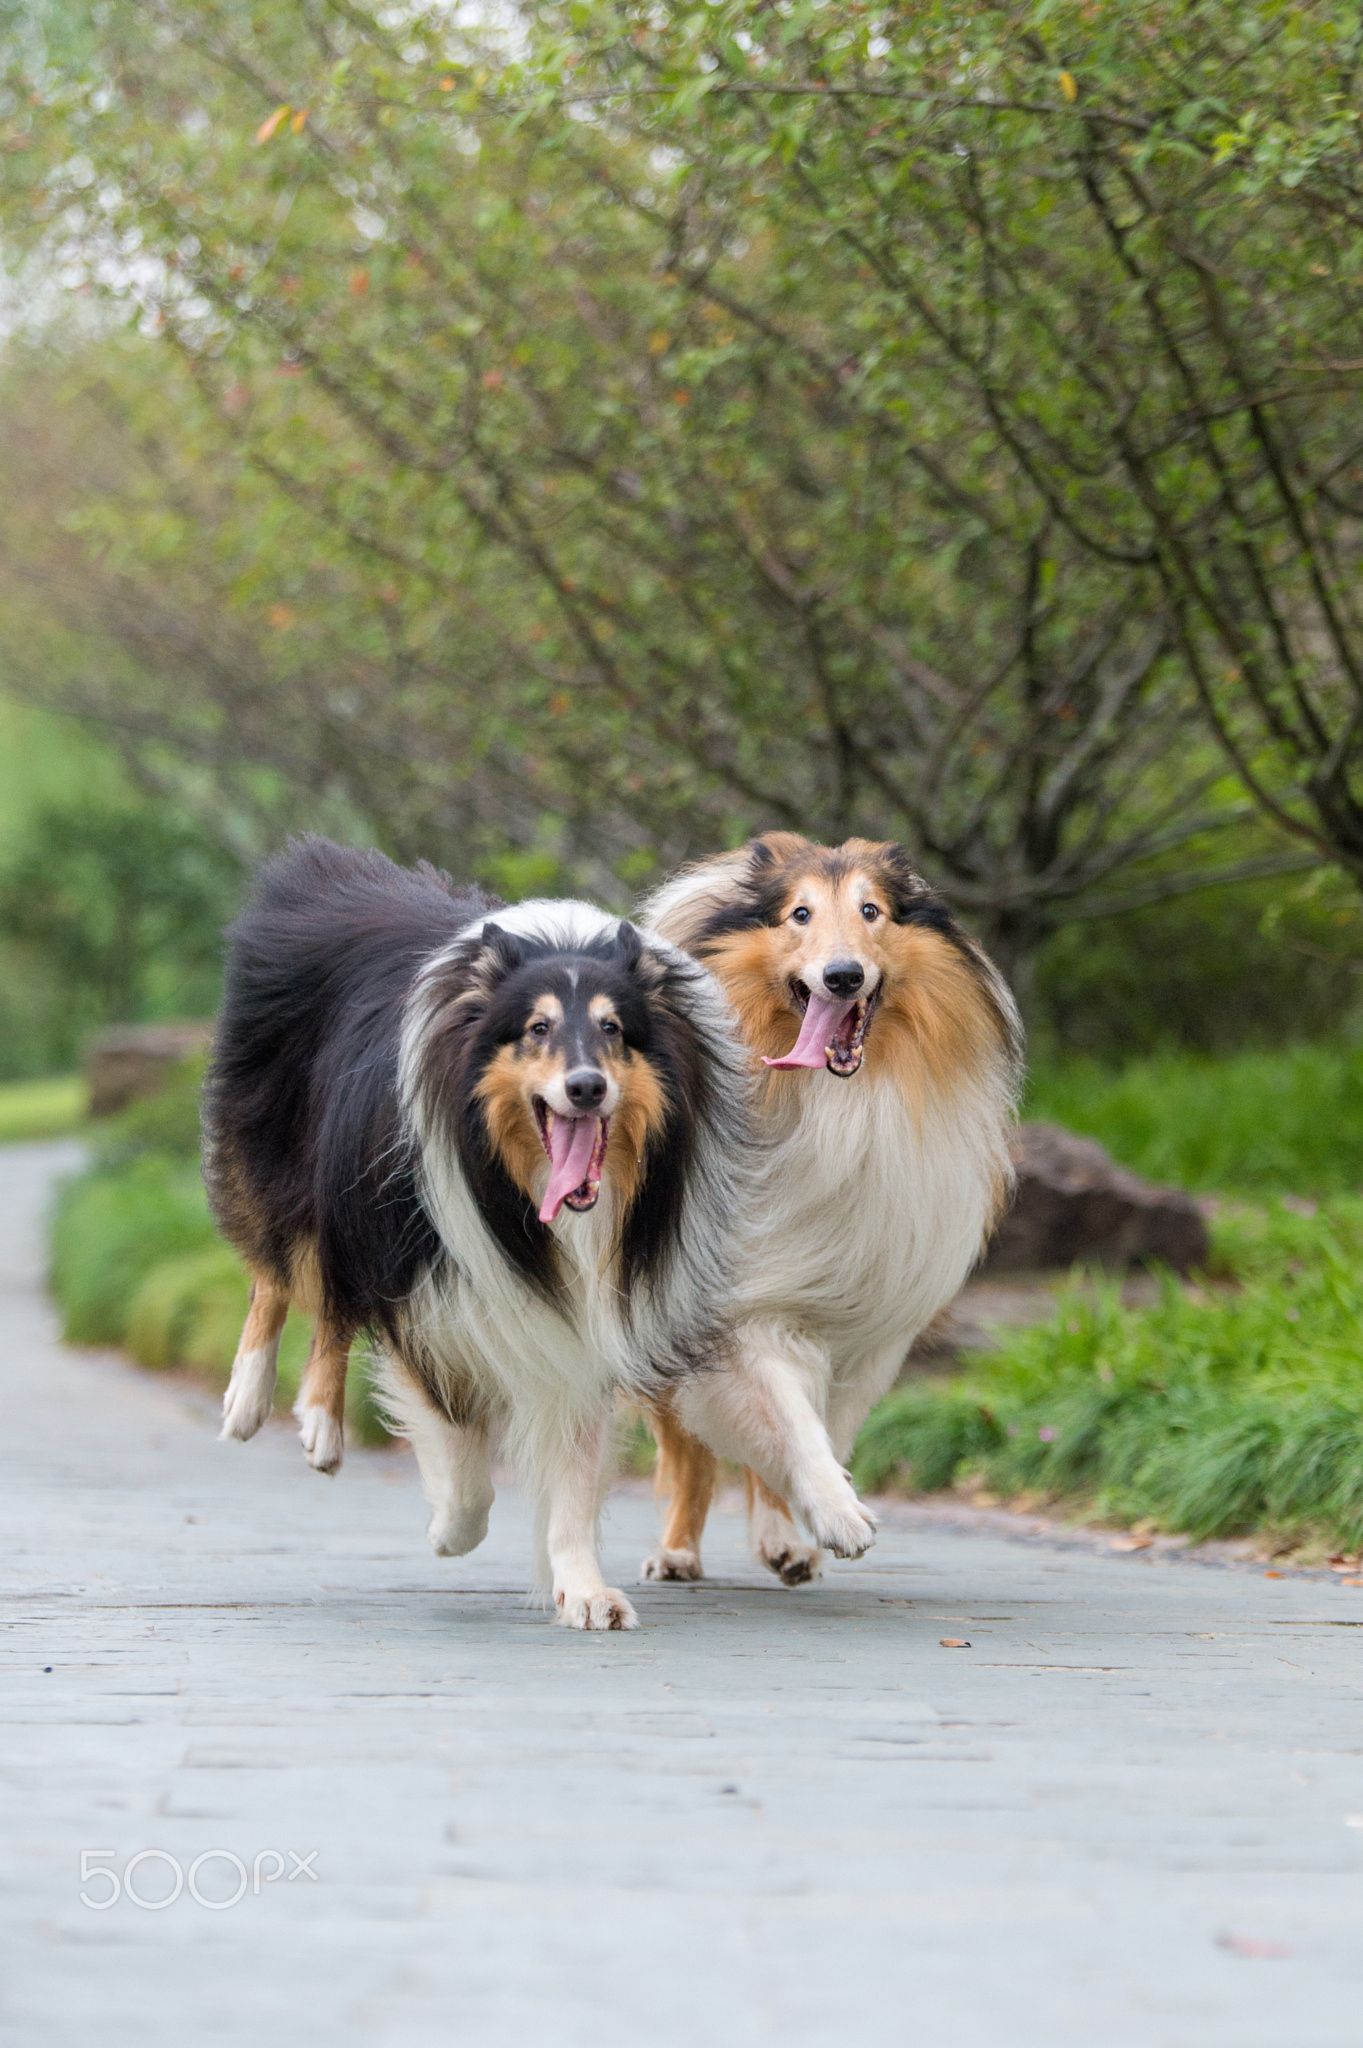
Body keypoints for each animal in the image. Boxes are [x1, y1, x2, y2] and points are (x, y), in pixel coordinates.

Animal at [206, 839, 875, 1622]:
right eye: (537, 1028)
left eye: (613, 1029)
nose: (586, 1087)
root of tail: (331, 869)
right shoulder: (426, 1290)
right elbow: (460, 1453)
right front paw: (450, 1527)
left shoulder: (607, 1310)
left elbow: (582, 1473)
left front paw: (583, 1588)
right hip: (292, 1172)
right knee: (278, 1271)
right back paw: (253, 1399)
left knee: (331, 1303)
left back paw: (317, 1422)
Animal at [638, 831, 1019, 1581]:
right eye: (800, 914)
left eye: (871, 911)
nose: (842, 976)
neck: (836, 1104)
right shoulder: (742, 1306)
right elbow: (786, 1417)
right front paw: (838, 1512)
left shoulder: (868, 1327)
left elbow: (819, 1427)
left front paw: (809, 1516)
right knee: (687, 1453)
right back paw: (677, 1551)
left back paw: (783, 1542)